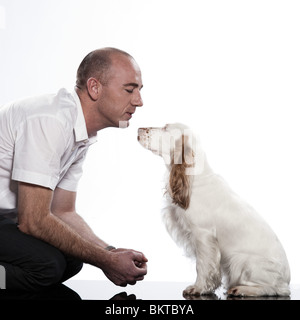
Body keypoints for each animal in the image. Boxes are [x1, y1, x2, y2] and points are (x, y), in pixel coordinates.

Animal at [138, 123, 290, 298]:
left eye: (166, 128)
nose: (139, 129)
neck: (194, 178)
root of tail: (286, 280)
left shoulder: (203, 236)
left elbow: (202, 265)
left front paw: (198, 288)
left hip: (242, 261)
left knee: (273, 289)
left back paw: (241, 289)